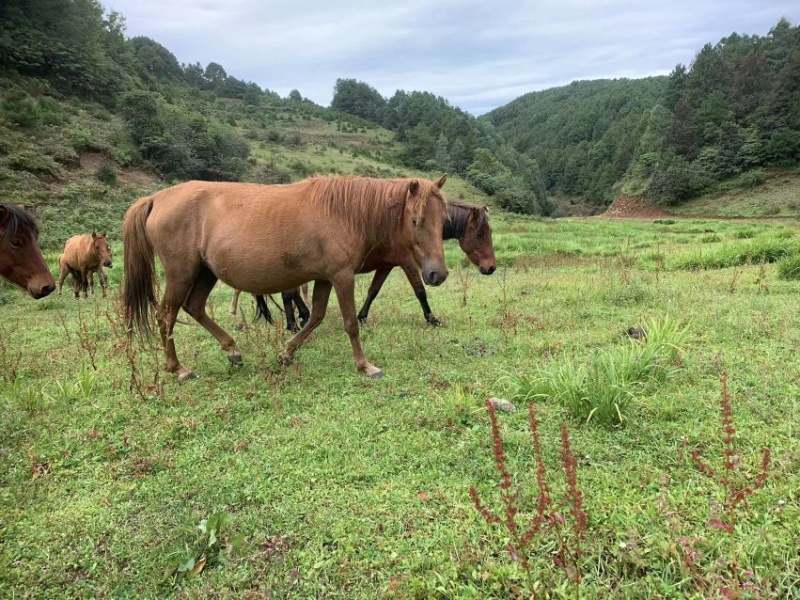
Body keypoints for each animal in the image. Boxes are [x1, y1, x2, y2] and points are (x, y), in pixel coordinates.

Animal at [123, 175, 449, 381]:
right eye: (416, 220)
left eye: (443, 221)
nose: (438, 274)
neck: (343, 213)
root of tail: (157, 198)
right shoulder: (342, 276)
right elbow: (350, 324)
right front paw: (365, 366)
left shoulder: (325, 278)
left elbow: (315, 316)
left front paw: (287, 353)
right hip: (181, 274)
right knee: (166, 316)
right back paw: (178, 368)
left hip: (205, 272)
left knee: (194, 307)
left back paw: (232, 350)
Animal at [253, 201, 496, 330]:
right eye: (481, 234)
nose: (491, 267)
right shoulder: (408, 263)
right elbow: (420, 291)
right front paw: (431, 318)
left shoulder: (386, 265)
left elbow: (373, 291)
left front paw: (362, 317)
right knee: (288, 294)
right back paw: (293, 323)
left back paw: (303, 317)